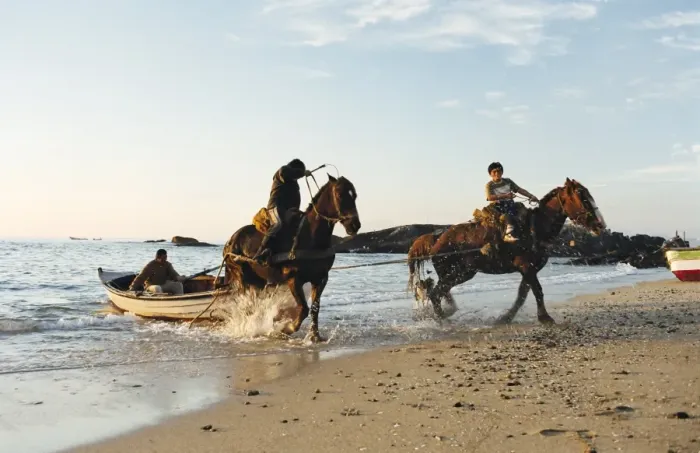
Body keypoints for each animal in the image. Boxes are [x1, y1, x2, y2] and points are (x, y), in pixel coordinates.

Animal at [222, 174, 361, 343]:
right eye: (340, 194)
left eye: (354, 195)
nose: (355, 225)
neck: (310, 236)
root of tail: (230, 241)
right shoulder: (293, 279)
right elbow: (303, 309)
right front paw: (286, 329)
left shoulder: (320, 278)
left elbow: (314, 309)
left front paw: (314, 335)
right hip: (243, 278)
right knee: (247, 306)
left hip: (258, 281)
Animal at [407, 178, 606, 324]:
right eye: (583, 198)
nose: (600, 225)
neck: (534, 228)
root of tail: (437, 238)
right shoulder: (527, 267)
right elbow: (537, 291)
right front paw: (545, 318)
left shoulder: (529, 269)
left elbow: (522, 294)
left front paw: (506, 317)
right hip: (457, 272)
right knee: (435, 292)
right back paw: (443, 319)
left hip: (461, 273)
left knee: (439, 291)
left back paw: (447, 313)